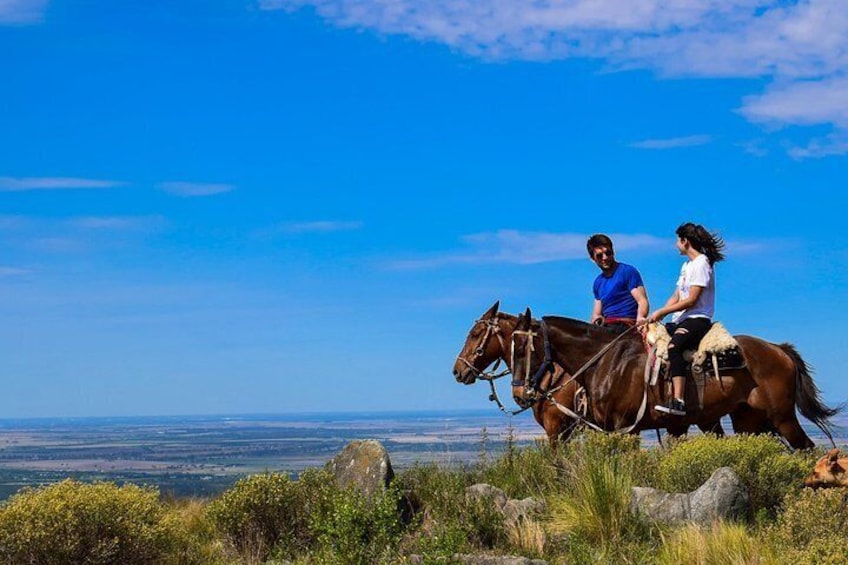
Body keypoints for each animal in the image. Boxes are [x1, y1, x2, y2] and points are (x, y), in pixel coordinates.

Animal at [506, 306, 840, 448]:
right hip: (749, 420)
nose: (520, 395)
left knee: (807, 448)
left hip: (783, 417)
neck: (605, 360)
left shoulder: (623, 428)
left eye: (522, 349)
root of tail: (779, 349)